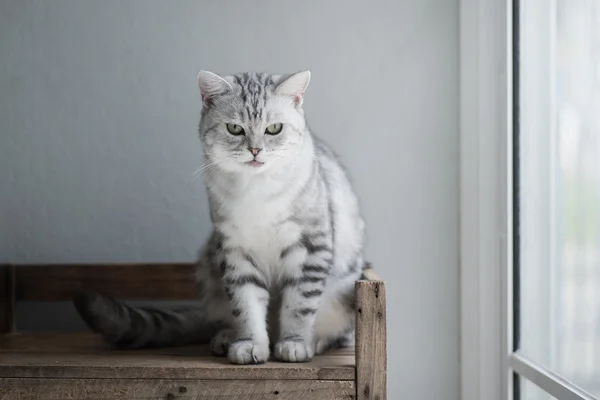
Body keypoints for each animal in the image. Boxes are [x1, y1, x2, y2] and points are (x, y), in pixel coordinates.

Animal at [75, 70, 366, 364]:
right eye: (235, 128)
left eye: (274, 128)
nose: (255, 150)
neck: (256, 192)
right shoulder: (235, 249)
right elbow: (246, 306)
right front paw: (249, 344)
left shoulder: (309, 246)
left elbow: (299, 305)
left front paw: (294, 342)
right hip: (209, 269)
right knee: (225, 318)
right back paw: (226, 338)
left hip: (343, 291)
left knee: (338, 333)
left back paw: (314, 341)